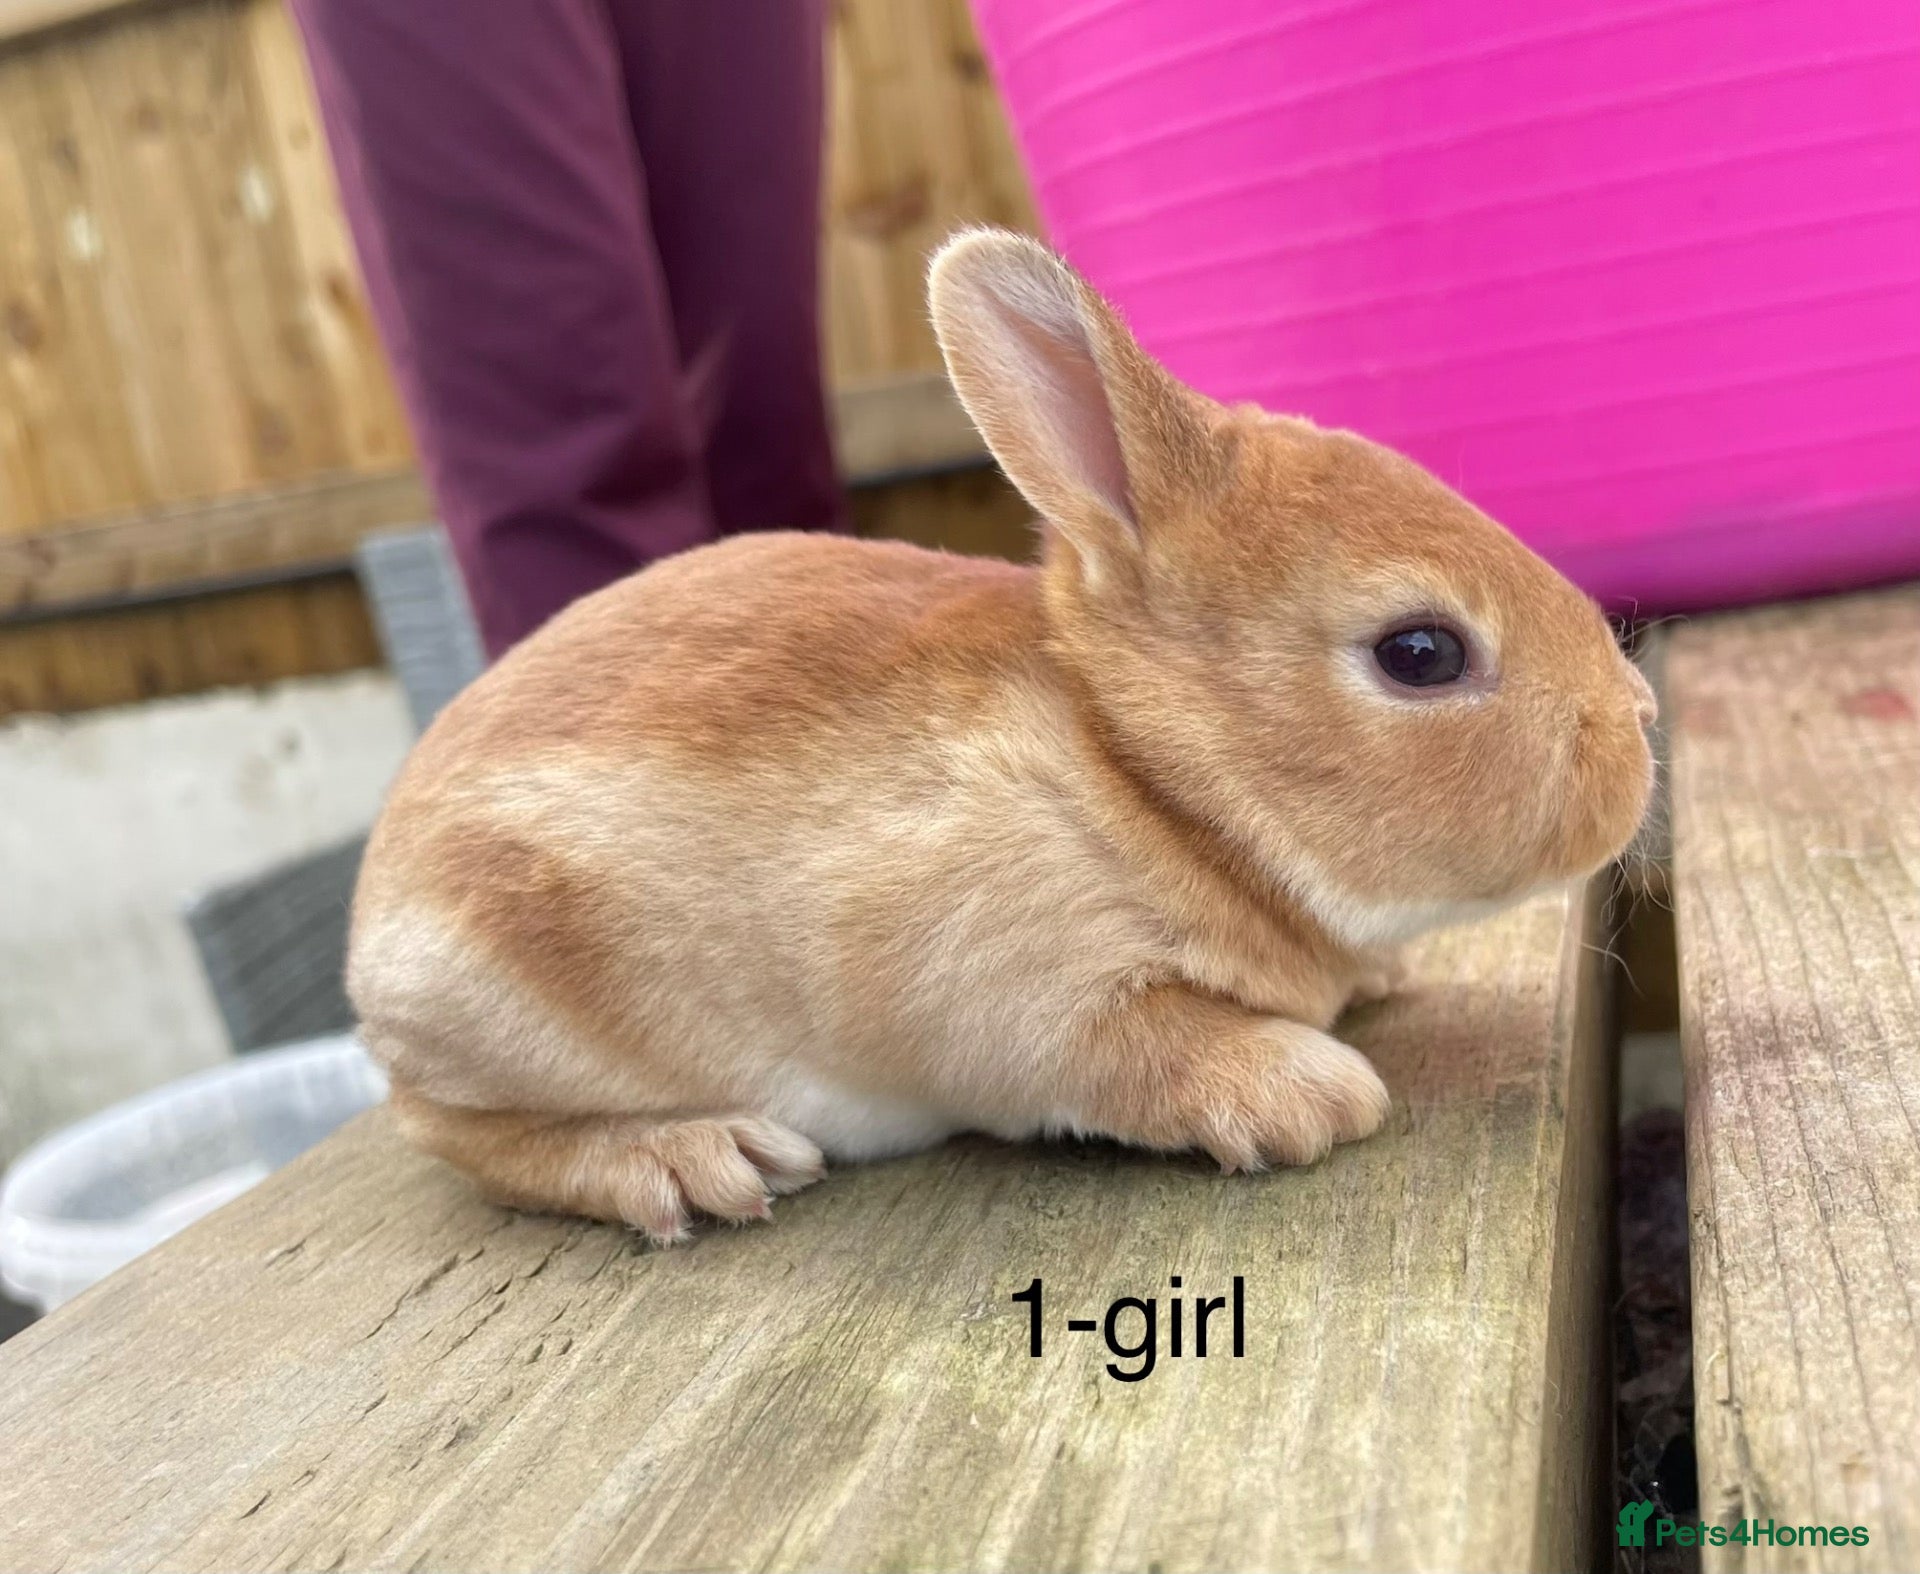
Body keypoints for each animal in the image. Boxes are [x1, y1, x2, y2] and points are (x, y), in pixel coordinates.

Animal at [348, 228, 1656, 1241]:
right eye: (1420, 653)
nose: (1639, 724)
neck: (1145, 771)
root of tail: (372, 922)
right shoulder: (1024, 993)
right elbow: (1133, 1045)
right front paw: (1310, 1087)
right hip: (499, 982)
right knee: (451, 1132)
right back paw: (686, 1158)